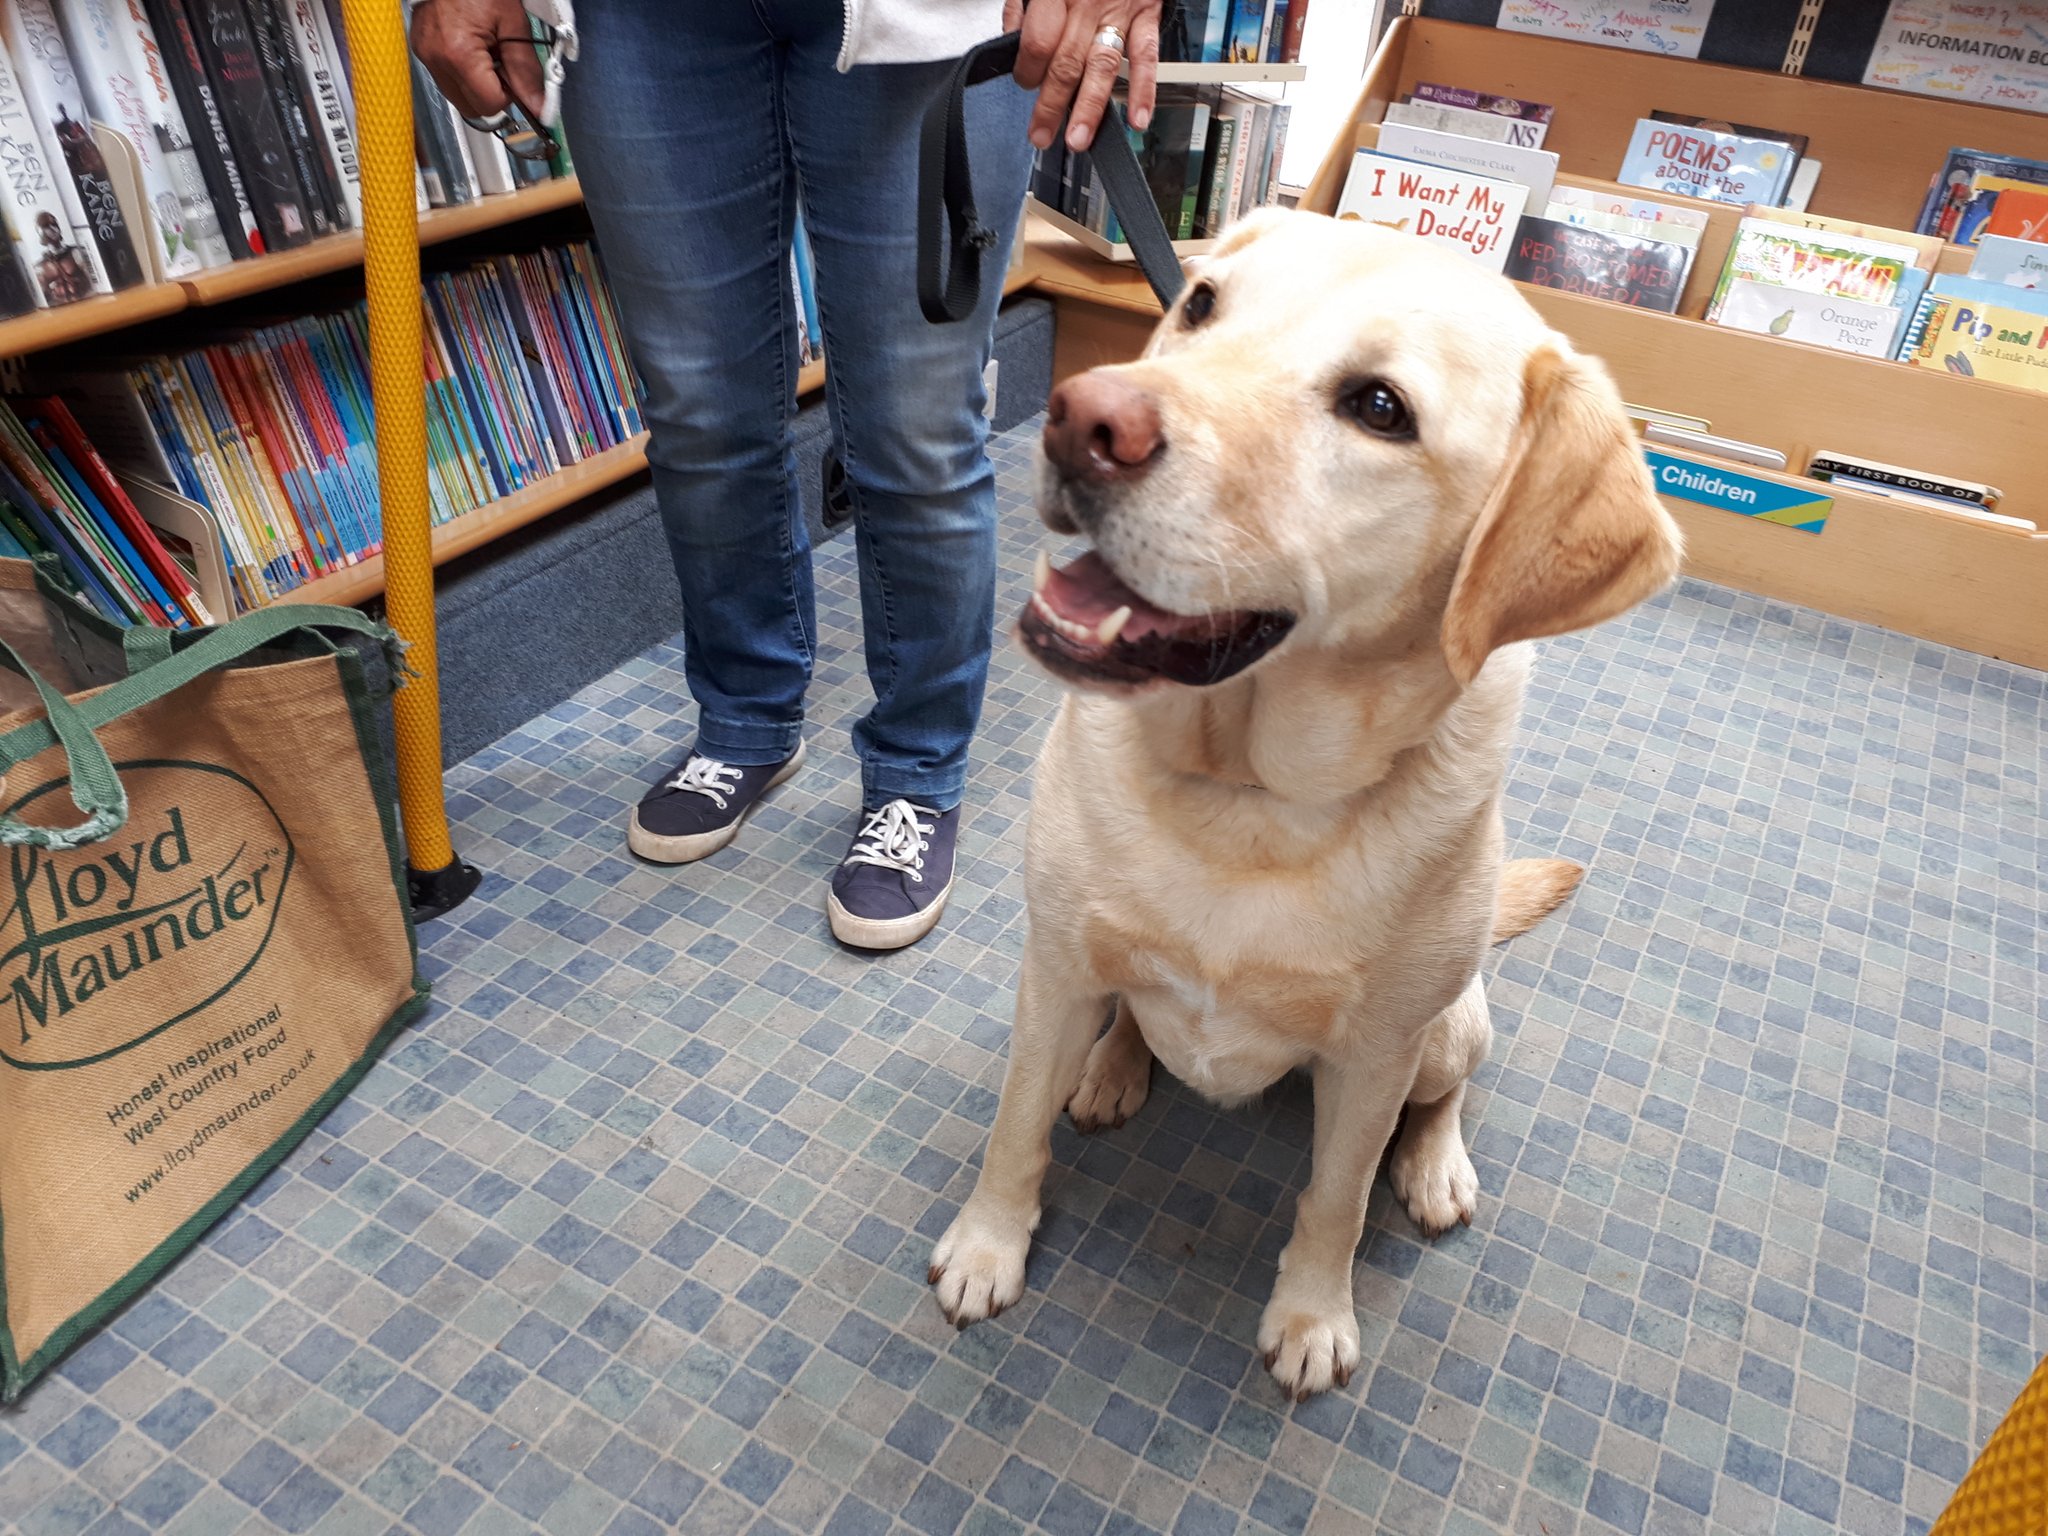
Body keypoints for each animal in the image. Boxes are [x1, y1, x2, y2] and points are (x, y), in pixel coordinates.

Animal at [929, 210, 1679, 1400]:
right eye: (1199, 304)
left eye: (1380, 408)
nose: (1083, 418)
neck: (1244, 797)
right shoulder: (1052, 970)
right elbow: (1013, 1129)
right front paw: (987, 1246)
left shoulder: (1372, 1061)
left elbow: (1335, 1199)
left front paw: (1313, 1316)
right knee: (1126, 1024)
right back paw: (1111, 1070)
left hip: (1446, 1028)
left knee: (1441, 1100)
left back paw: (1435, 1168)